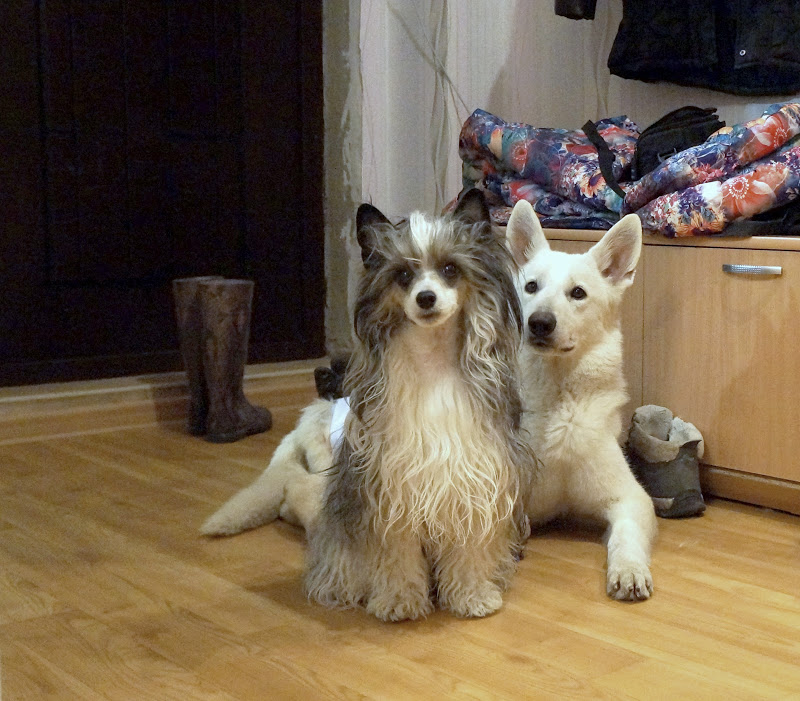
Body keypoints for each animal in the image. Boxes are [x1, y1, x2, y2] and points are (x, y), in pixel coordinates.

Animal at [202, 189, 536, 621]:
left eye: (450, 269)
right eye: (403, 275)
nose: (426, 298)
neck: (432, 367)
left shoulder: (472, 479)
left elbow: (469, 549)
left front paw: (471, 595)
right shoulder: (389, 488)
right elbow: (396, 552)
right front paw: (399, 599)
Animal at [506, 199, 657, 601]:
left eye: (578, 293)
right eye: (531, 286)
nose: (539, 323)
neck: (558, 402)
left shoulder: (631, 499)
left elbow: (625, 536)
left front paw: (629, 569)